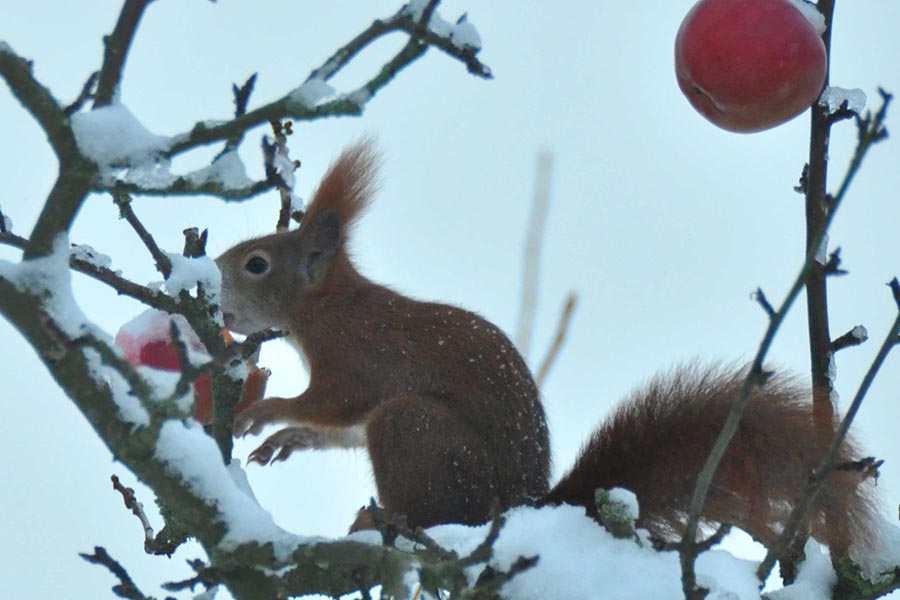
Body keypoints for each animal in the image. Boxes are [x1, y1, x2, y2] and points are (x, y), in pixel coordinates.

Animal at [214, 143, 876, 556]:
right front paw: (288, 439)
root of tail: (527, 506)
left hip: (417, 432)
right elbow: (333, 427)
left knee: (433, 502)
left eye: (256, 263)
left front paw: (267, 413)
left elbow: (334, 403)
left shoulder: (354, 360)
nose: (214, 277)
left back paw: (389, 520)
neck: (325, 308)